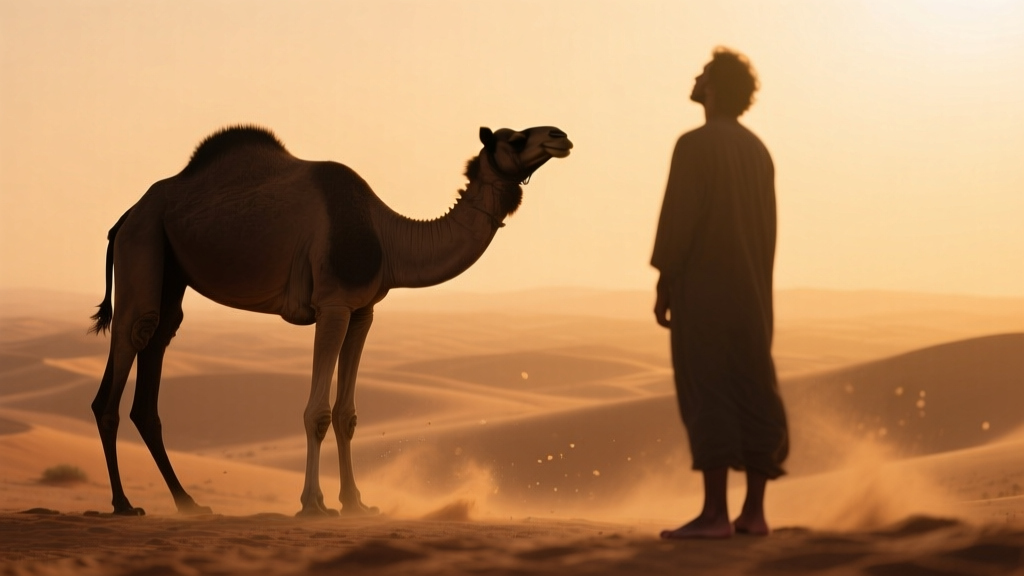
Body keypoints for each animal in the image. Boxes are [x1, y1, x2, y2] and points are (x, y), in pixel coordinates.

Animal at [89, 125, 572, 516]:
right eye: (515, 138)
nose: (560, 136)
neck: (387, 237)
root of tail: (125, 216)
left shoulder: (362, 311)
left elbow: (347, 414)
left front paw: (357, 503)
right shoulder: (333, 305)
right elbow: (317, 413)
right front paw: (314, 504)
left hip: (171, 268)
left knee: (158, 347)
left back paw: (188, 502)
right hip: (143, 241)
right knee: (132, 341)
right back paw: (123, 504)